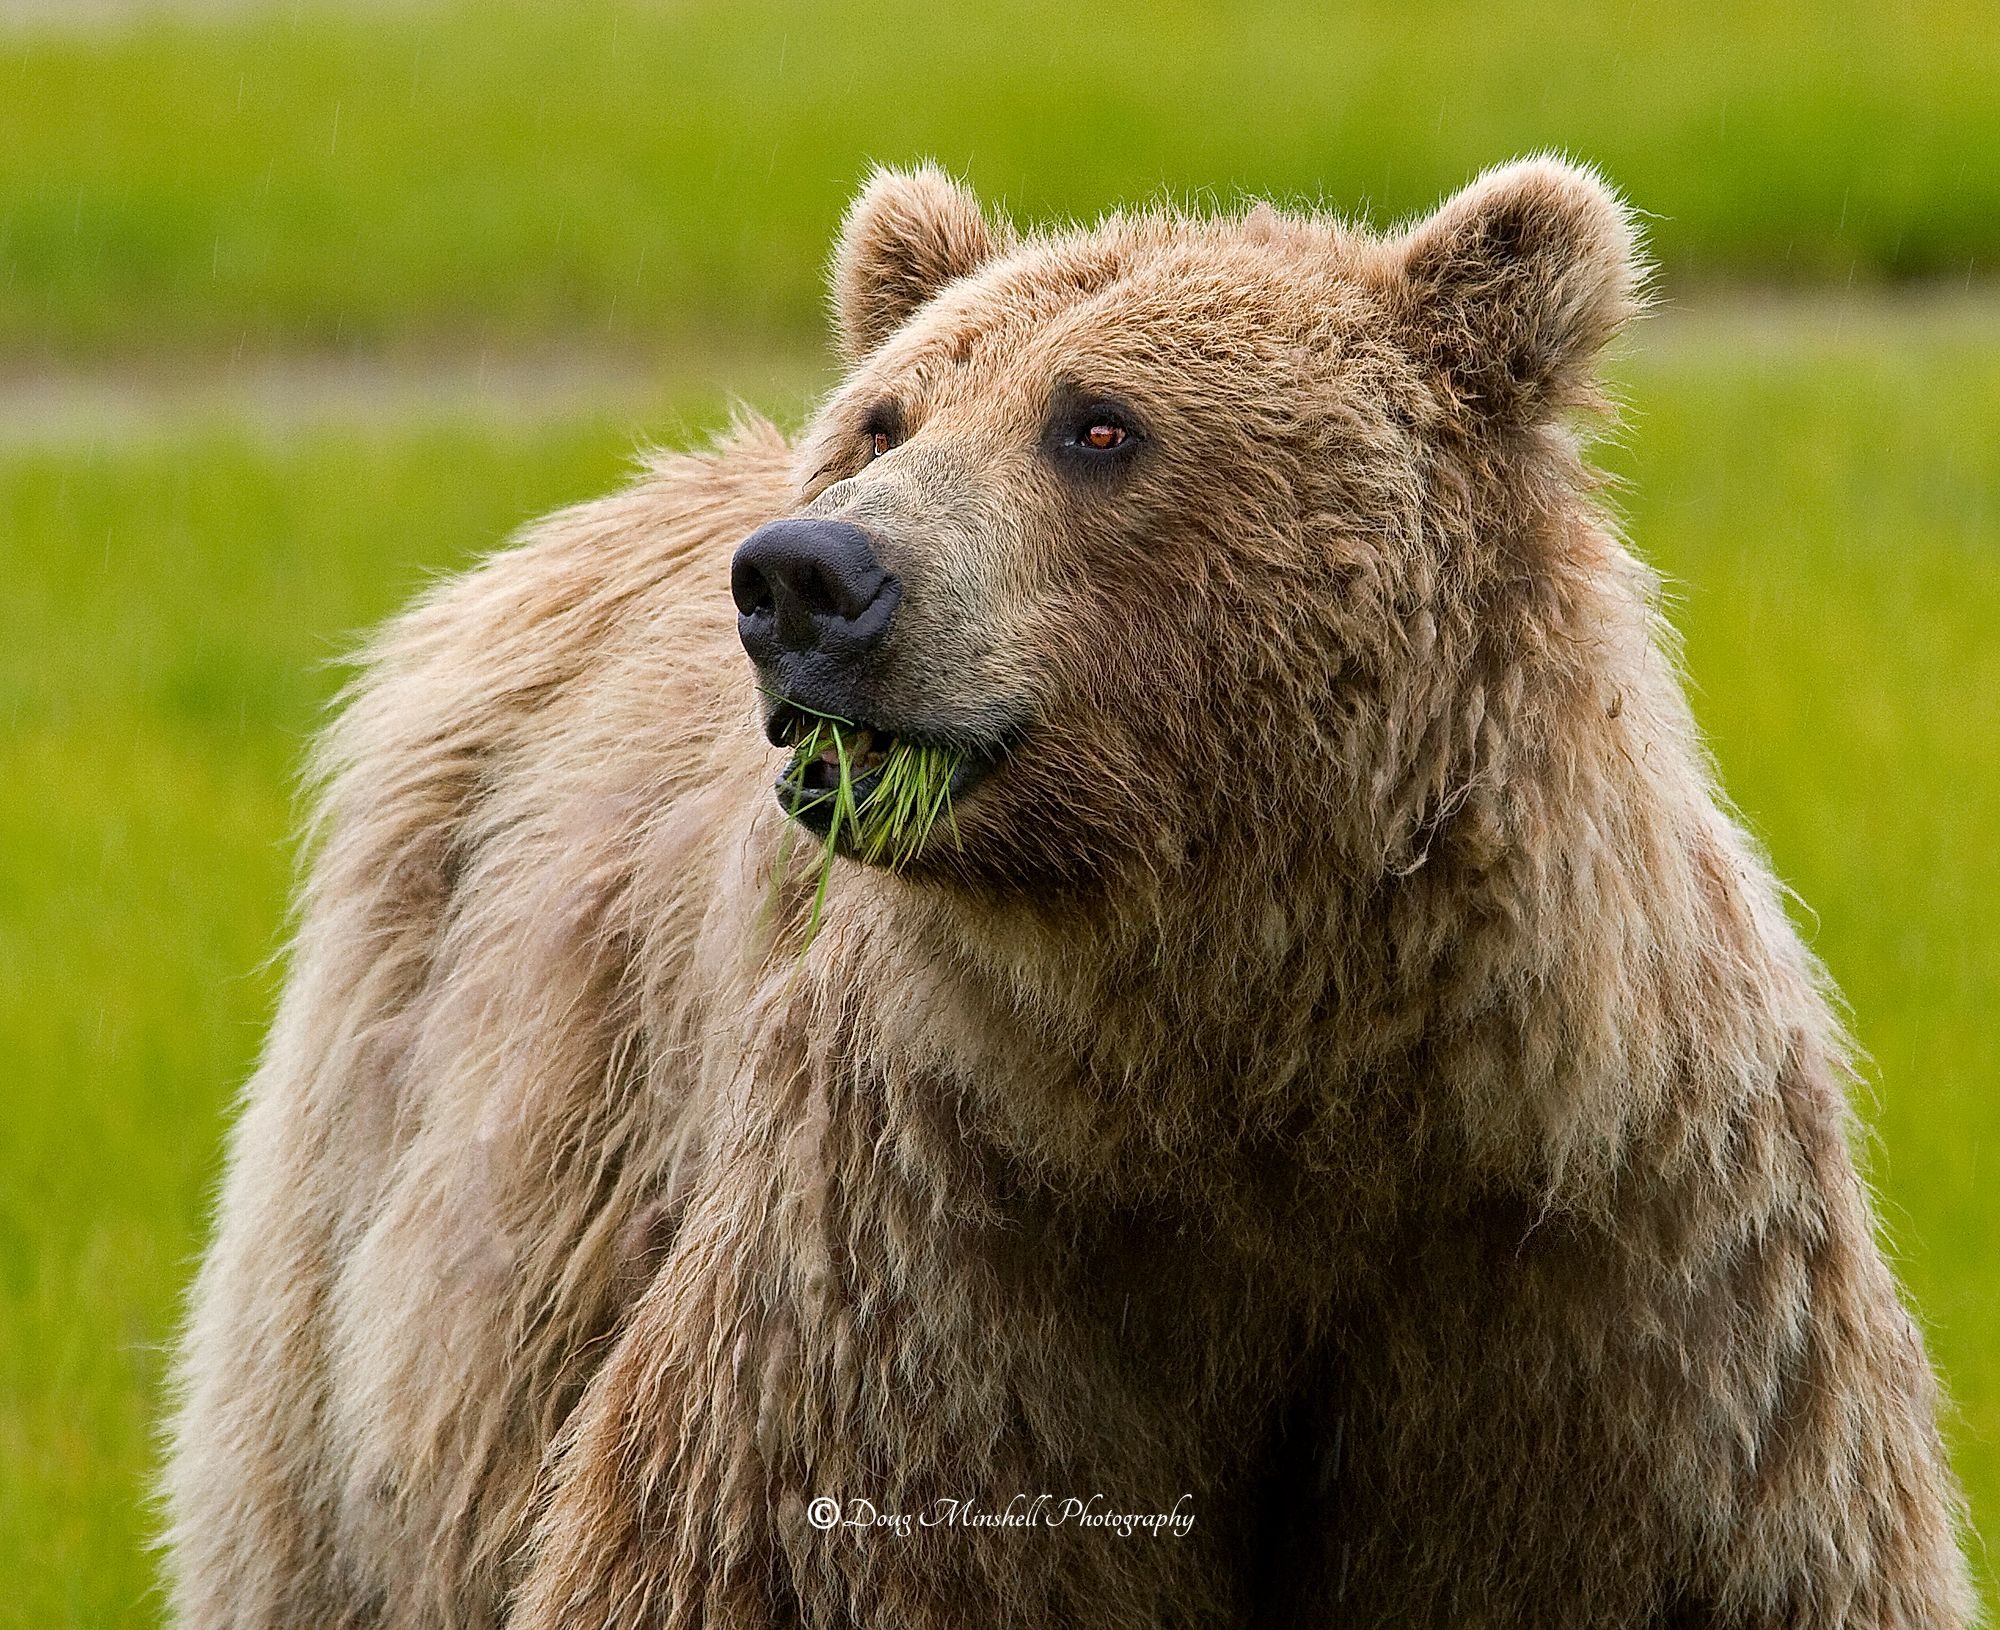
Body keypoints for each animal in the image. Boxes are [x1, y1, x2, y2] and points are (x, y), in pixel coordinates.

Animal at [161, 158, 1975, 1628]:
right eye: (887, 418)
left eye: (1100, 423)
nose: (806, 576)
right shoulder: (935, 1264)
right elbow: (774, 1547)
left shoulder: (1610, 1276)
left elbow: (1709, 1549)